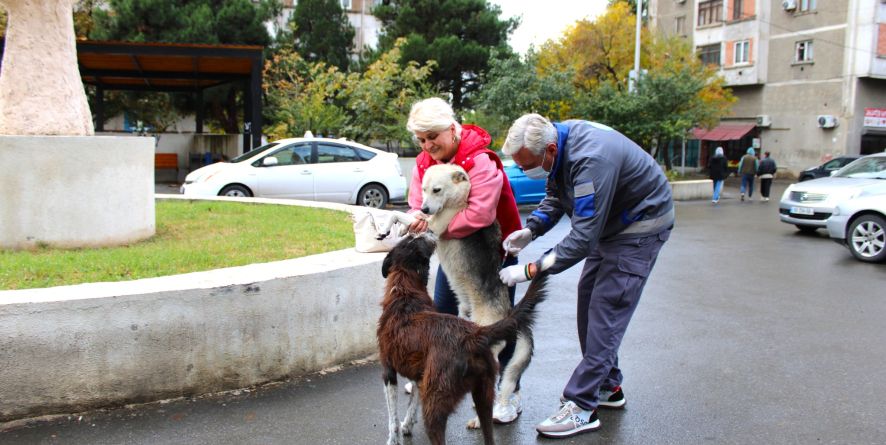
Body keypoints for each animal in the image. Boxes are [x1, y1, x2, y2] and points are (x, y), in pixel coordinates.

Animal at [378, 163, 536, 426]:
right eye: (423, 189)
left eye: (437, 190)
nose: (425, 207)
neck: (460, 197)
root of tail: (508, 313)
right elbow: (404, 218)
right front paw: (387, 229)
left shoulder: (432, 227)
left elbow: (402, 216)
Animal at [380, 234, 548, 442]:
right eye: (412, 237)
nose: (428, 232)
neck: (405, 287)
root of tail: (474, 336)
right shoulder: (419, 375)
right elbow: (411, 405)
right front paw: (407, 425)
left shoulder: (388, 371)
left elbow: (392, 419)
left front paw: (394, 438)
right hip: (483, 395)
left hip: (436, 404)